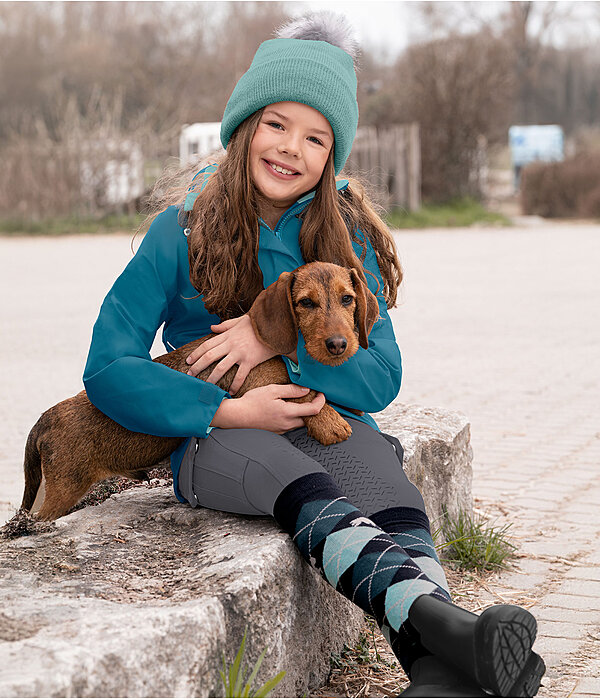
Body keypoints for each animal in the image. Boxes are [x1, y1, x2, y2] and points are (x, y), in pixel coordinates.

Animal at [23, 262, 380, 520]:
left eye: (347, 299)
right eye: (306, 302)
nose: (338, 345)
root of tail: (43, 420)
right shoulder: (257, 383)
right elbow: (299, 386)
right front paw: (329, 421)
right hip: (63, 489)